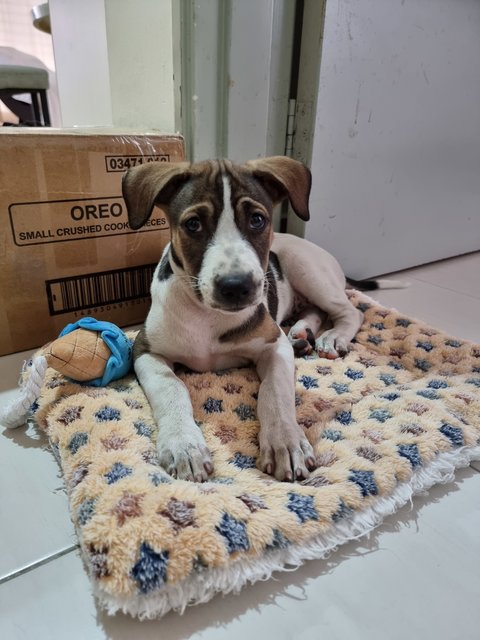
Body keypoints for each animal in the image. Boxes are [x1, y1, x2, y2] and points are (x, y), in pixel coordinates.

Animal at [123, 158, 364, 482]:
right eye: (193, 224)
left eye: (257, 220)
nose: (236, 286)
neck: (208, 314)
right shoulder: (145, 349)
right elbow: (171, 387)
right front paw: (184, 445)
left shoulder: (273, 345)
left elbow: (275, 393)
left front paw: (285, 441)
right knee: (315, 311)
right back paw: (301, 335)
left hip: (306, 269)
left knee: (350, 310)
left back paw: (332, 337)